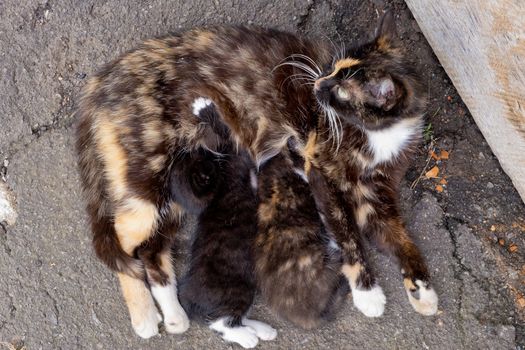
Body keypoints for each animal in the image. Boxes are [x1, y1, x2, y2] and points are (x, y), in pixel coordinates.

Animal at [176, 100, 276, 348]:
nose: (186, 144)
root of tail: (189, 299)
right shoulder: (237, 162)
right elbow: (227, 136)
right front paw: (204, 108)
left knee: (237, 316)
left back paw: (262, 330)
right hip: (237, 289)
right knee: (221, 321)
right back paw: (248, 337)